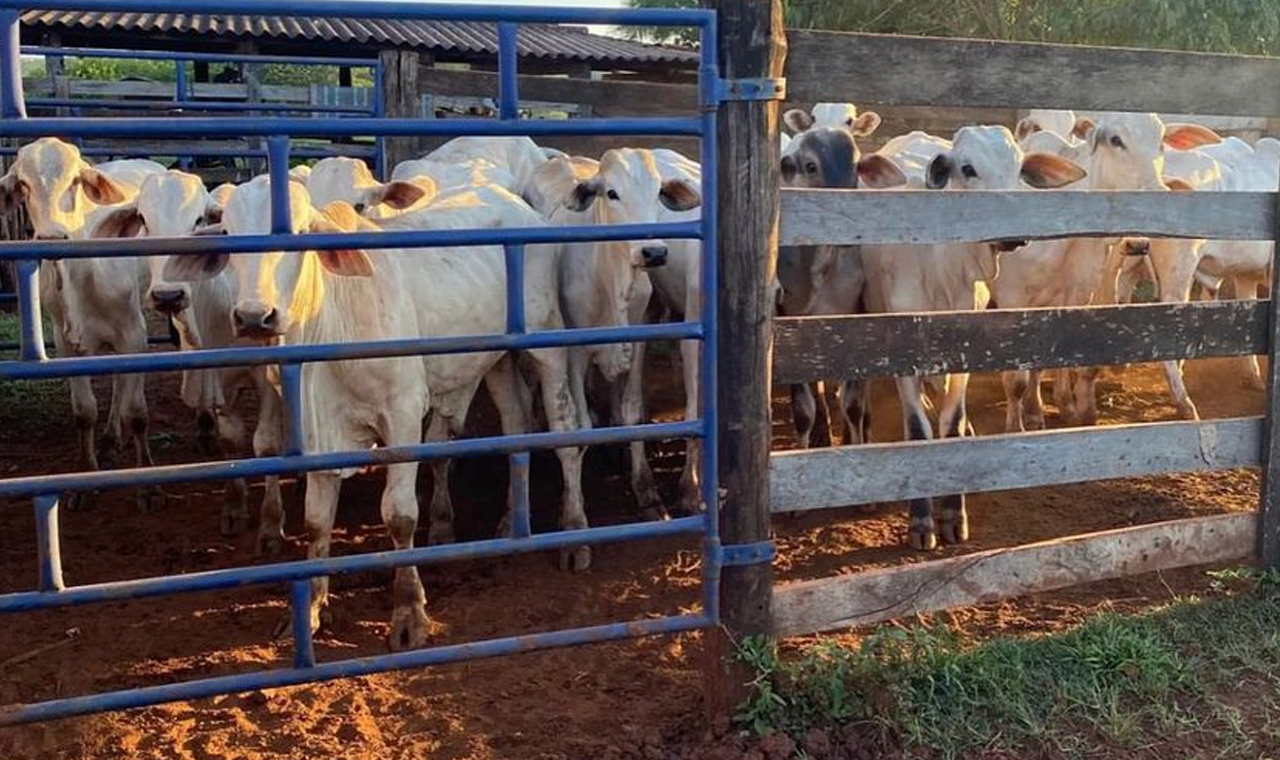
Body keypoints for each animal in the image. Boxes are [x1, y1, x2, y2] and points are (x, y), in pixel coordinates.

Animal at [0, 137, 165, 509]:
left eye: (75, 181)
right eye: (23, 184)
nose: (51, 238)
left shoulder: (134, 334)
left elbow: (137, 411)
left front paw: (147, 485)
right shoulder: (64, 344)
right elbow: (84, 412)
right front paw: (85, 480)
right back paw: (109, 440)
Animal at [855, 127, 1085, 547]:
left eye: (1018, 168)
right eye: (967, 169)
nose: (1013, 233)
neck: (940, 271)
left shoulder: (964, 354)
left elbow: (953, 422)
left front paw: (952, 514)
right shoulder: (903, 355)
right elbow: (919, 430)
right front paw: (922, 522)